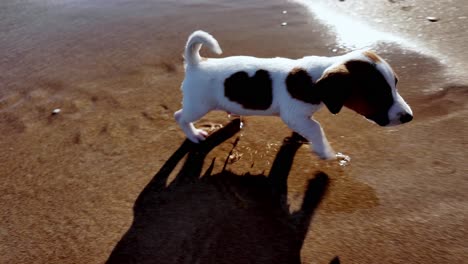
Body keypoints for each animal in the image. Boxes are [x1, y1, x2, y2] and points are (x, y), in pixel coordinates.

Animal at [176, 31, 414, 159]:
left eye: (395, 85)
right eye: (377, 93)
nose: (409, 117)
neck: (314, 81)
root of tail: (197, 63)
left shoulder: (301, 117)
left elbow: (310, 126)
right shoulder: (293, 115)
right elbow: (316, 128)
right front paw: (325, 151)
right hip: (198, 105)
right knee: (180, 116)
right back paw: (194, 135)